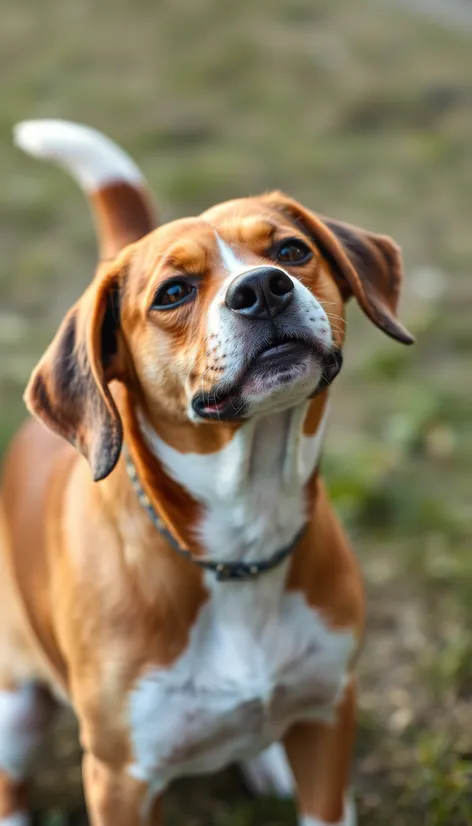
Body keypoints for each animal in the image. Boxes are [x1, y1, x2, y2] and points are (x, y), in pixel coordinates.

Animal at [0, 117, 412, 824]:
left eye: (293, 249)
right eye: (174, 292)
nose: (263, 287)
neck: (244, 541)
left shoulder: (331, 714)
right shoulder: (120, 779)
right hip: (14, 710)